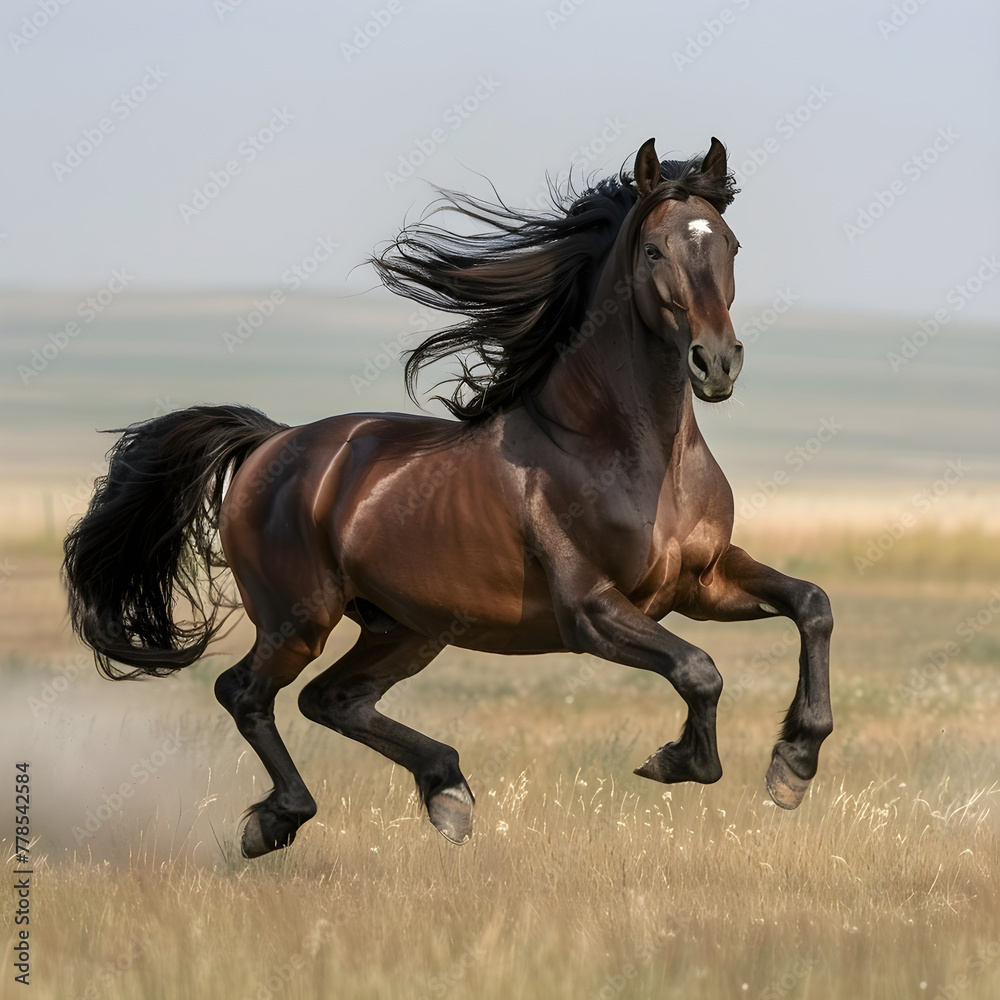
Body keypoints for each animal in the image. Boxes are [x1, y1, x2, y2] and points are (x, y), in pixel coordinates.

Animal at [58, 139, 832, 860]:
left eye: (729, 243)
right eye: (653, 249)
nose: (717, 363)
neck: (628, 451)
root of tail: (271, 442)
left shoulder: (699, 582)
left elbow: (810, 605)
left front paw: (794, 763)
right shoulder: (591, 610)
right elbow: (699, 670)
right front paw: (678, 761)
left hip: (407, 627)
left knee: (330, 699)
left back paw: (447, 790)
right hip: (299, 617)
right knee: (245, 693)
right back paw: (275, 822)